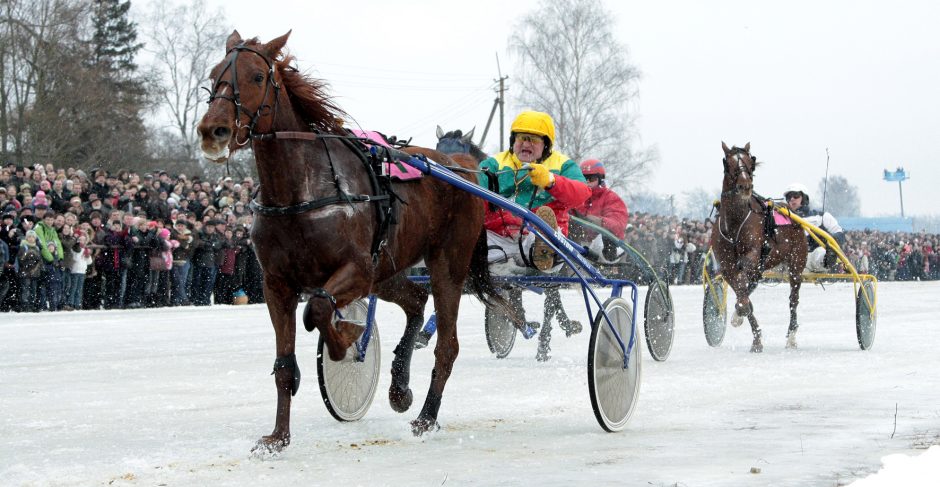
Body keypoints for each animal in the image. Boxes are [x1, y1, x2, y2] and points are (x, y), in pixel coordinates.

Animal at [712, 143, 808, 352]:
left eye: (751, 163)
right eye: (729, 164)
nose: (745, 186)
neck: (734, 223)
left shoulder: (753, 256)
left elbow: (743, 289)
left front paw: (738, 314)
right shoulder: (727, 266)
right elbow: (742, 292)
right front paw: (755, 337)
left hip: (796, 262)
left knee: (793, 299)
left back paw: (791, 337)